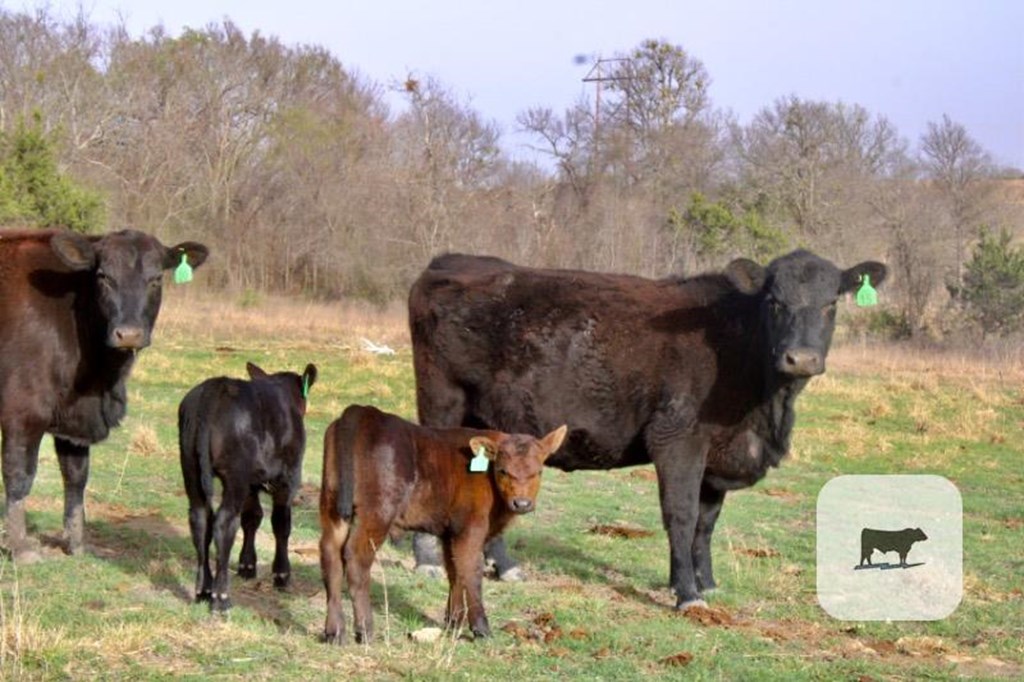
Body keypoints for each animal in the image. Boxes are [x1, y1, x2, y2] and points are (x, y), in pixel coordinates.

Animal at [0, 227, 207, 557]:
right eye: (104, 276)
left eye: (156, 279)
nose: (129, 334)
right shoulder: (22, 409)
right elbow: (19, 475)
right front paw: (21, 548)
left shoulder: (75, 419)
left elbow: (75, 477)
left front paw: (75, 544)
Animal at [179, 358, 315, 606]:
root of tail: (216, 387)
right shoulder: (288, 479)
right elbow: (281, 523)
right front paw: (281, 575)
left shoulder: (252, 484)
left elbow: (252, 517)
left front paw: (247, 565)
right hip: (236, 474)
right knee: (224, 522)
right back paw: (220, 597)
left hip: (191, 467)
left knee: (200, 519)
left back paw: (203, 590)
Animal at [317, 403, 569, 643]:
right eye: (503, 470)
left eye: (539, 471)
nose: (522, 503)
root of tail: (364, 412)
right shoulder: (470, 527)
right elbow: (471, 570)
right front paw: (480, 628)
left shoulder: (450, 532)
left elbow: (454, 570)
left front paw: (453, 623)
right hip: (378, 511)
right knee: (356, 558)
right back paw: (365, 630)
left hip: (331, 504)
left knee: (330, 554)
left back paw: (334, 632)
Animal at [407, 249, 888, 606]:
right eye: (774, 302)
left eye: (831, 304)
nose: (800, 358)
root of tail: (451, 261)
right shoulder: (678, 439)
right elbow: (682, 513)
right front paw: (687, 593)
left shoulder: (717, 454)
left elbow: (706, 522)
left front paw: (706, 581)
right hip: (442, 402)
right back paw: (427, 560)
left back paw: (504, 566)